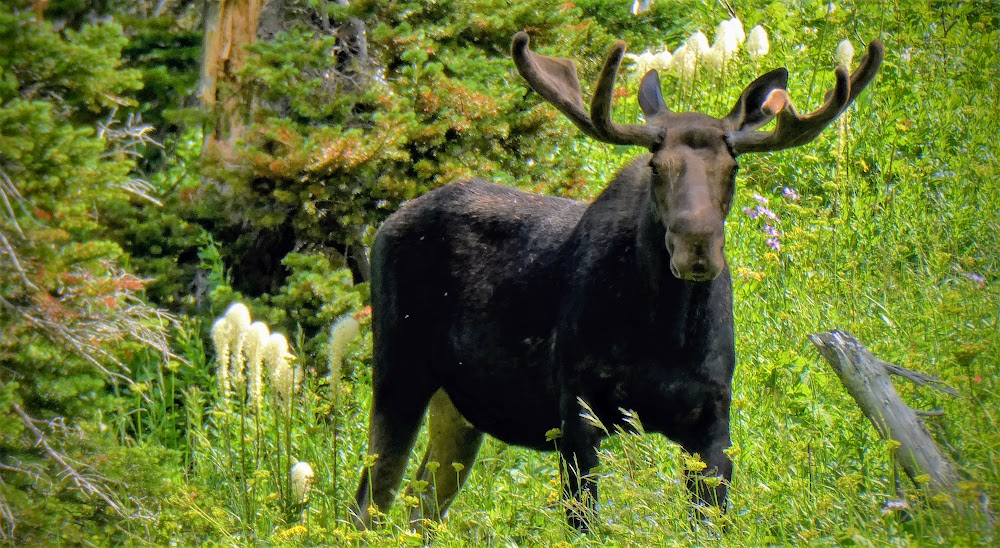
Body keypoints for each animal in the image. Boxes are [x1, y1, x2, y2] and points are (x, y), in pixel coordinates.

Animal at [351, 31, 884, 532]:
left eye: (732, 166)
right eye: (656, 167)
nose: (697, 245)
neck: (665, 336)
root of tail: (385, 224)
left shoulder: (713, 418)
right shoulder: (576, 410)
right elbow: (584, 520)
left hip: (459, 407)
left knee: (422, 505)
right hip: (398, 371)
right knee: (367, 504)